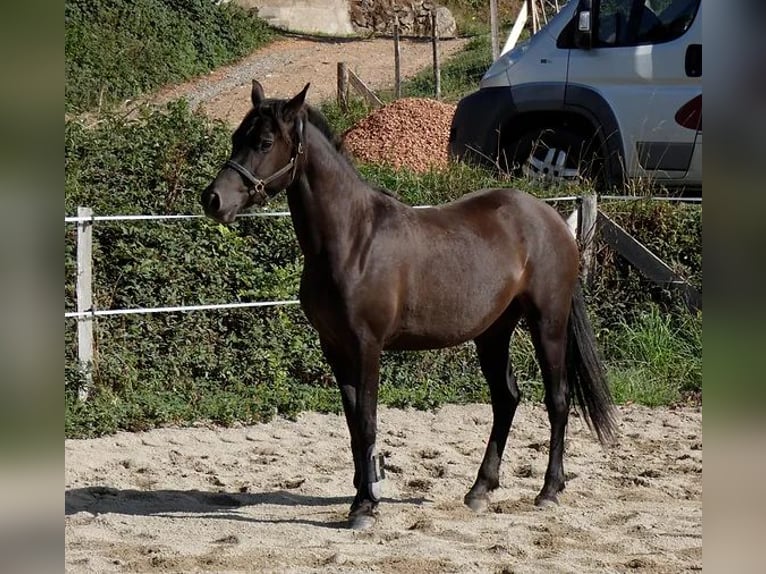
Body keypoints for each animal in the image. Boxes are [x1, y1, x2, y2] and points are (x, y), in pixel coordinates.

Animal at [200, 81, 616, 532]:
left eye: (263, 142)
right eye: (235, 138)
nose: (213, 199)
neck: (352, 239)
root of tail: (553, 220)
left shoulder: (367, 347)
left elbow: (367, 422)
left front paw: (366, 506)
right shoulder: (335, 347)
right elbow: (353, 425)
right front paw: (362, 493)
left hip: (548, 323)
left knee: (557, 400)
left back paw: (549, 491)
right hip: (493, 332)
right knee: (506, 398)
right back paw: (480, 490)